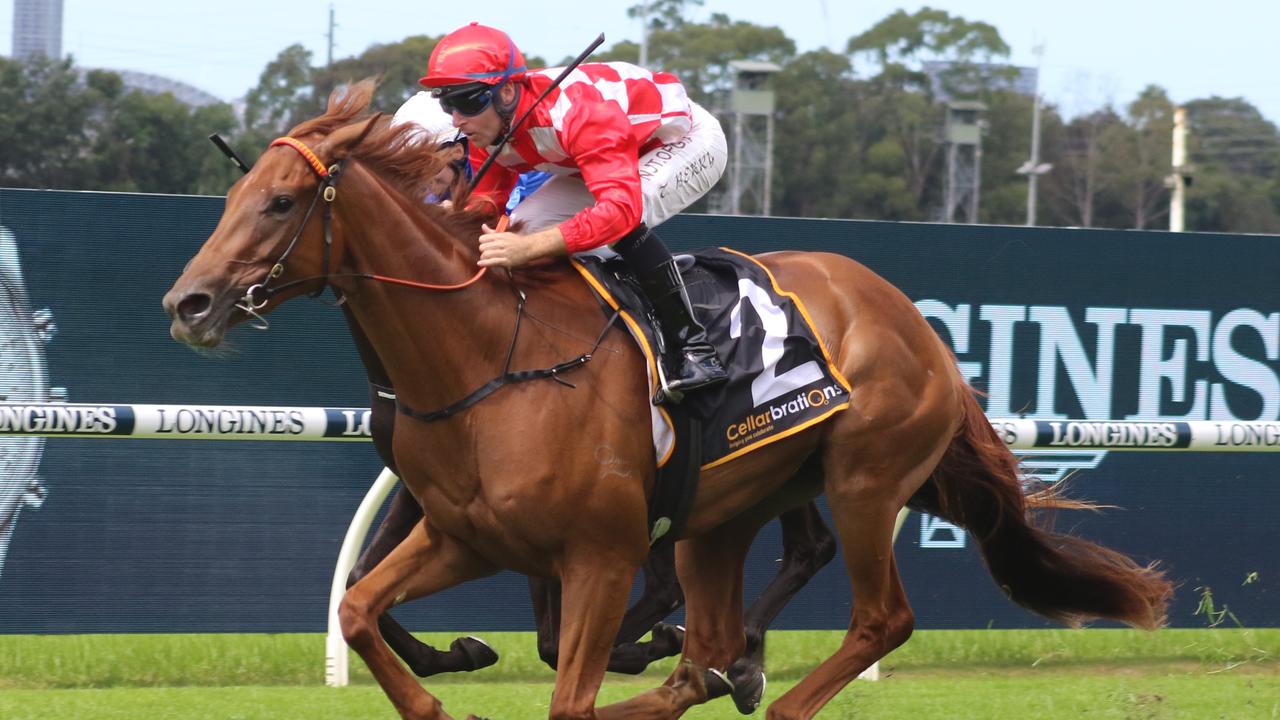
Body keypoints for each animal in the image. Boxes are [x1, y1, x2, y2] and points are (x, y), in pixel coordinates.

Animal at [165, 81, 1172, 712]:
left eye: (282, 203)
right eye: (236, 196)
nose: (190, 302)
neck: (488, 360)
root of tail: (915, 324)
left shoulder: (601, 554)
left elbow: (566, 673)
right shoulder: (460, 534)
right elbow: (359, 606)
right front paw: (454, 672)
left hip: (863, 481)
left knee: (879, 618)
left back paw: (767, 690)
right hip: (724, 515)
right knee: (713, 650)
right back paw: (734, 669)